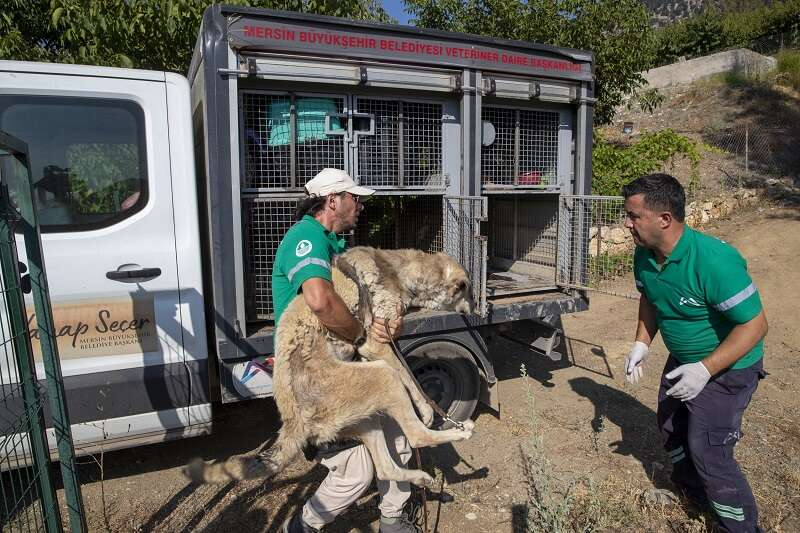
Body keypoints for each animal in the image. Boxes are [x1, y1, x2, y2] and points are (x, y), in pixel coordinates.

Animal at [186, 245, 476, 486]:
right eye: (471, 293)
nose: (476, 312)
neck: (396, 271)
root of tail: (293, 422)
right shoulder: (375, 343)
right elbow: (408, 376)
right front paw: (426, 409)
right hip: (382, 376)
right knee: (417, 435)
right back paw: (459, 433)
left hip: (368, 420)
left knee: (385, 470)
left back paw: (420, 477)